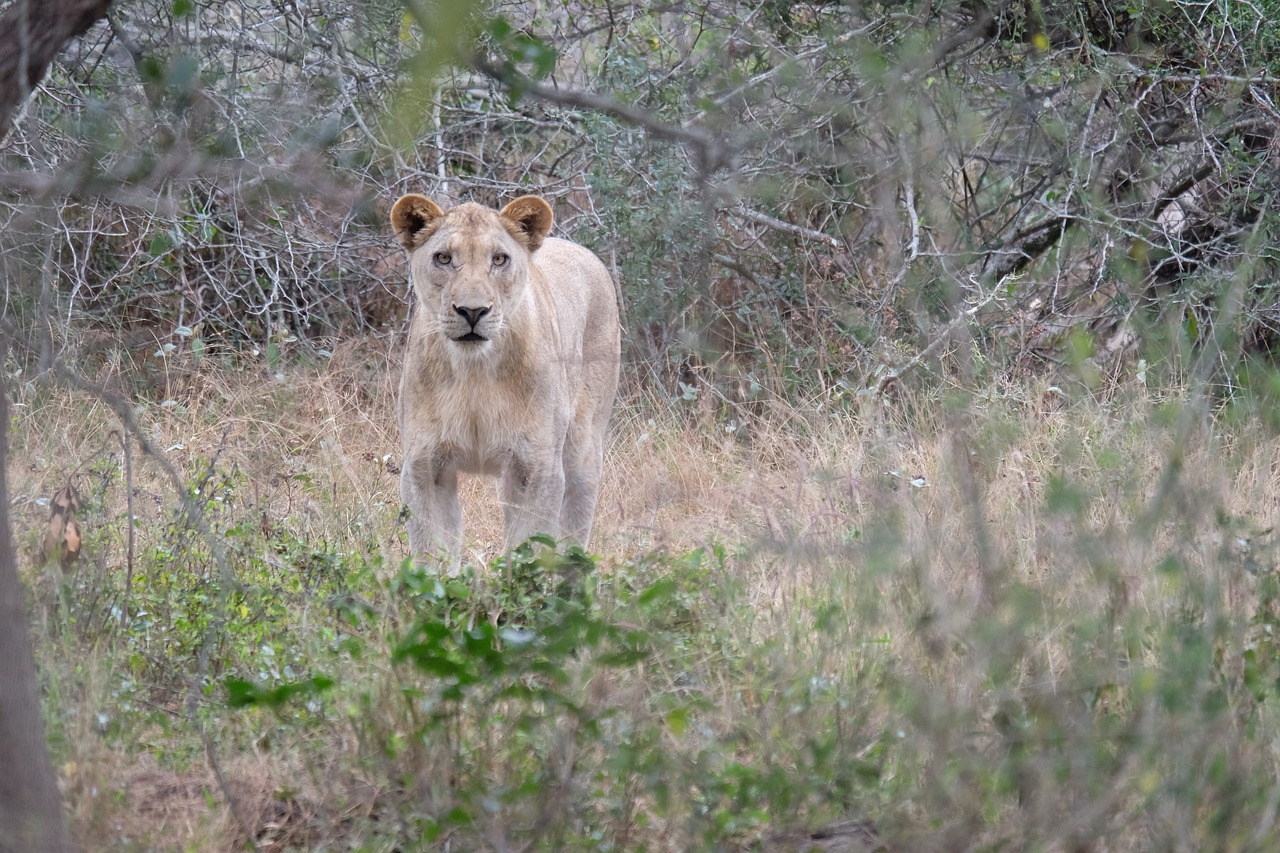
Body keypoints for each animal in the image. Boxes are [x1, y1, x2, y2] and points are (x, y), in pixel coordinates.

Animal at [389, 192, 619, 563]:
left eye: (499, 259)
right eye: (443, 258)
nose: (472, 311)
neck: (474, 374)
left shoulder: (537, 468)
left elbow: (531, 547)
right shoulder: (424, 467)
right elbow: (430, 552)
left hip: (583, 446)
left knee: (575, 522)